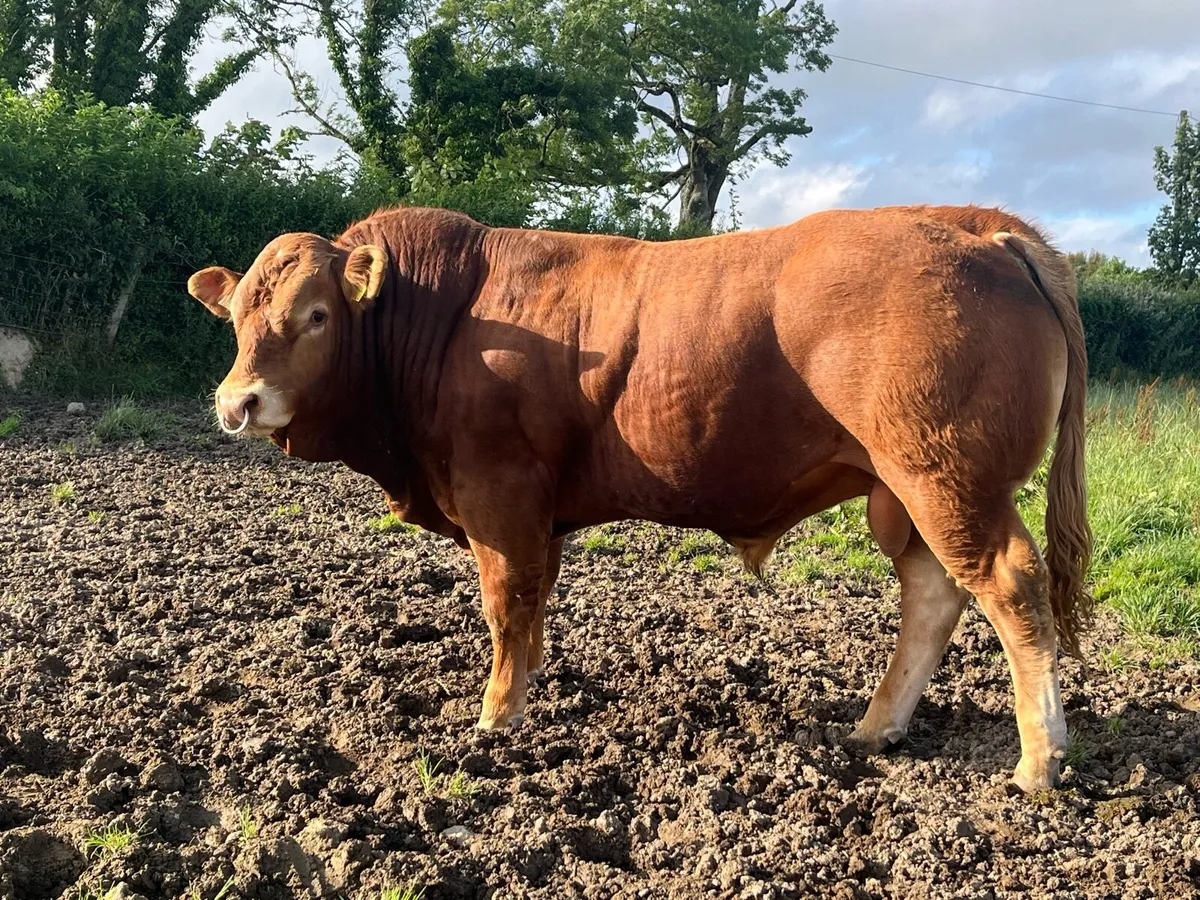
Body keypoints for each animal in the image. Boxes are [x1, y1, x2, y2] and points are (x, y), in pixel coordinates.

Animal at [187, 204, 1092, 792]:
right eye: (233, 317)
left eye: (315, 315)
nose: (238, 403)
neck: (446, 318)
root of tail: (979, 226)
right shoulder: (541, 508)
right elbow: (535, 605)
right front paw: (527, 690)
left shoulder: (498, 493)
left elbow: (506, 604)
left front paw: (495, 718)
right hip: (902, 490)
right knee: (934, 593)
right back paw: (876, 728)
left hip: (944, 477)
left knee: (1009, 586)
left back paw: (1038, 761)